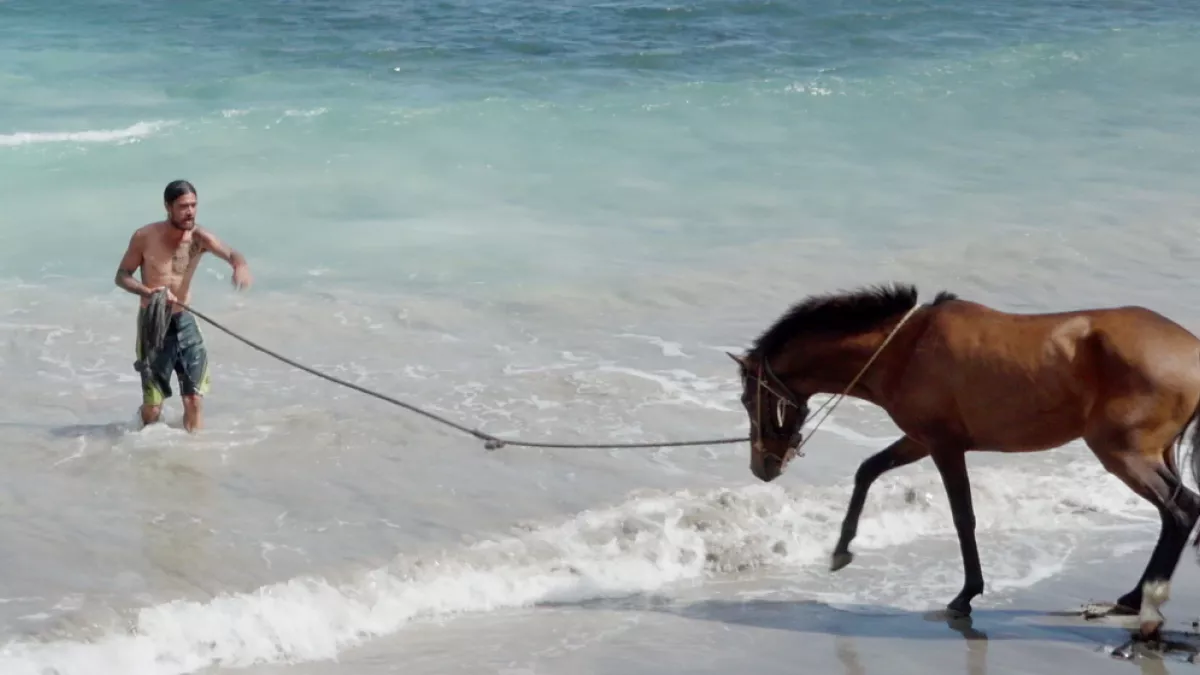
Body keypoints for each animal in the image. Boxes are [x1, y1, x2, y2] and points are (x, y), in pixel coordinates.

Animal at [724, 282, 1200, 634]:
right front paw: (841, 551)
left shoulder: (944, 446)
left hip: (1123, 453)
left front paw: (965, 595)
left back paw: (1149, 602)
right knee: (1172, 515)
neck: (905, 349)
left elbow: (962, 517)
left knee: (1180, 510)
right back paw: (1132, 598)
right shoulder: (919, 440)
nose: (763, 467)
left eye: (749, 400)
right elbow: (867, 471)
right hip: (1153, 453)